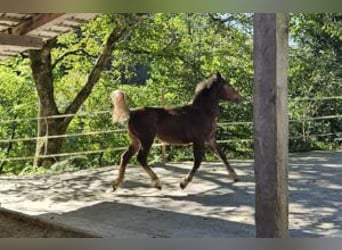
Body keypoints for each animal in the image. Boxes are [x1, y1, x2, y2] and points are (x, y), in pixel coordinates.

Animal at [111, 72, 242, 191]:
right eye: (228, 85)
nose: (240, 98)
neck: (203, 112)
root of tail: (132, 113)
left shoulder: (210, 139)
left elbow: (222, 155)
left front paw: (235, 176)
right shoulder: (198, 140)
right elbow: (198, 161)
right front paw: (183, 183)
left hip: (135, 141)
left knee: (125, 157)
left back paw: (116, 184)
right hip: (146, 140)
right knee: (141, 158)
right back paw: (157, 183)